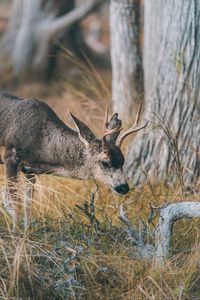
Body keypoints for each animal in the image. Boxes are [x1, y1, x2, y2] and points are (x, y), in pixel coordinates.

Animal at [0, 90, 147, 231]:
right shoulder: (11, 156)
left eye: (123, 160)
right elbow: (13, 199)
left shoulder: (29, 169)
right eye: (105, 162)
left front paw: (26, 232)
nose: (124, 187)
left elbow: (28, 202)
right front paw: (15, 234)